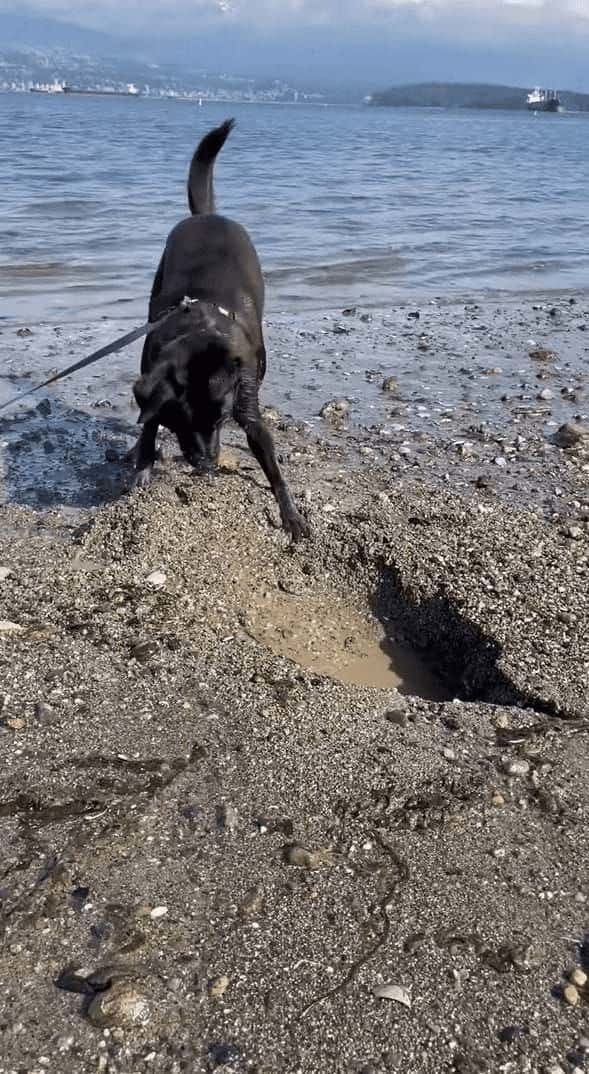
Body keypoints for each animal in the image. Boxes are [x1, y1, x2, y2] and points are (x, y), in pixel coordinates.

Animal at [132, 120, 307, 541]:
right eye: (177, 422)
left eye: (221, 420)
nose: (206, 464)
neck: (200, 331)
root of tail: (209, 215)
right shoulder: (151, 372)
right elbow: (147, 422)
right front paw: (142, 462)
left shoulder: (247, 404)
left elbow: (271, 461)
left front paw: (290, 513)